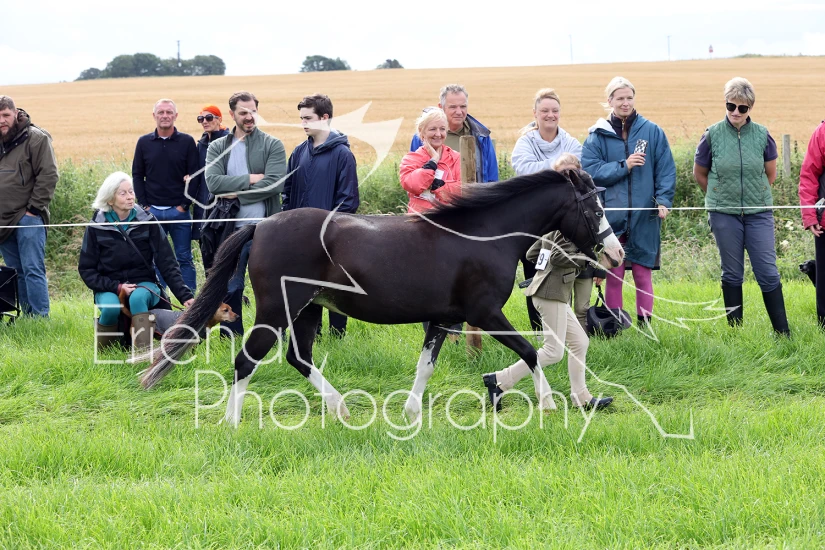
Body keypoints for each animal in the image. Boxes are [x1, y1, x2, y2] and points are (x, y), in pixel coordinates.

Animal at [140, 169, 624, 426]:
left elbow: (426, 365)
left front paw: (410, 413)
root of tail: (262, 225)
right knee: (247, 359)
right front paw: (547, 404)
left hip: (307, 310)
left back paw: (340, 408)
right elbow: (529, 350)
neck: (483, 236)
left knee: (298, 358)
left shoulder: (443, 317)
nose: (615, 254)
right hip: (278, 309)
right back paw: (233, 421)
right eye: (594, 208)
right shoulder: (485, 312)